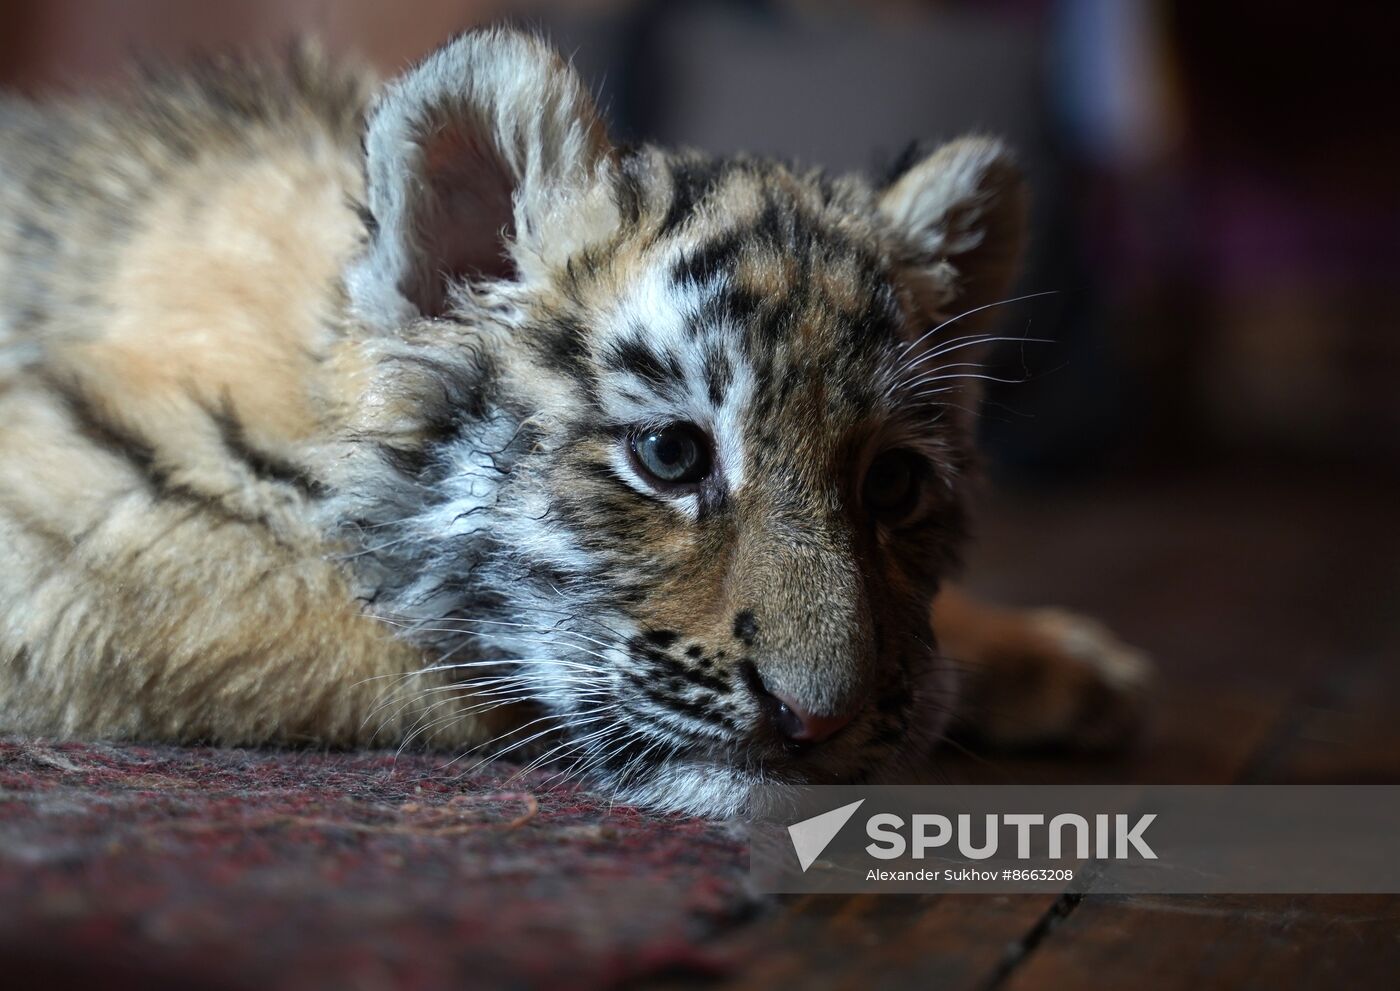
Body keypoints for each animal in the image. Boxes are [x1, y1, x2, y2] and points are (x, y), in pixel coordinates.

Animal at [0, 28, 1149, 816]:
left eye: (893, 485)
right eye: (670, 455)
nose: (818, 719)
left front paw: (1067, 666)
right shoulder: (82, 517)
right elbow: (358, 632)